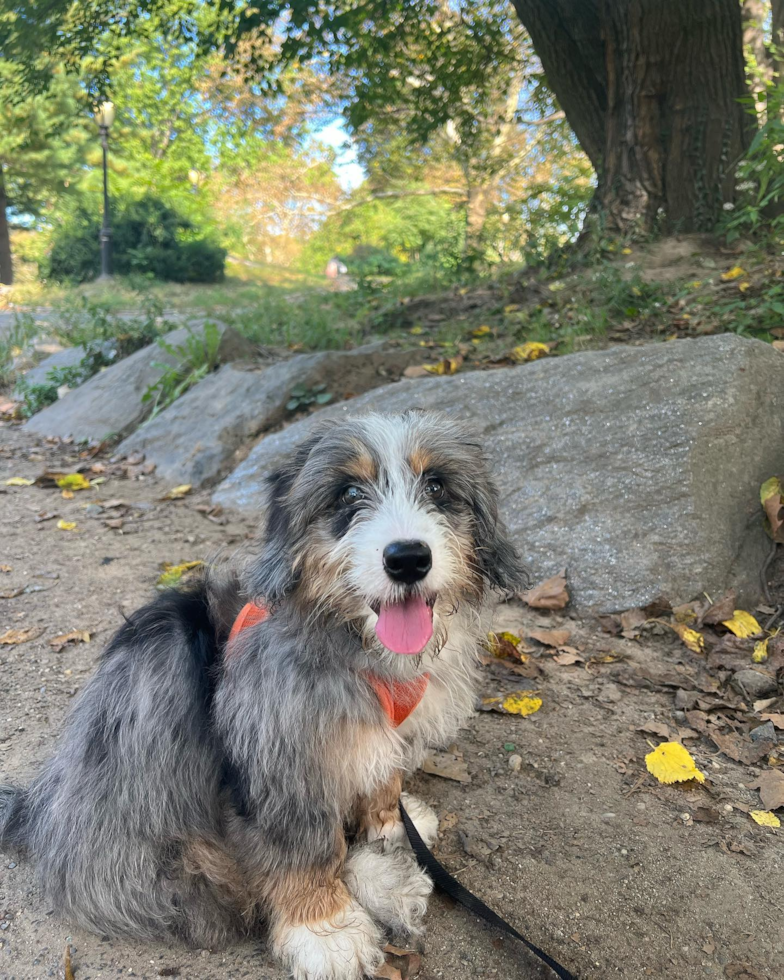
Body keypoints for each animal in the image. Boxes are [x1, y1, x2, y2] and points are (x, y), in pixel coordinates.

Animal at [1, 412, 528, 980]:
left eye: (436, 486)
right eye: (347, 493)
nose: (407, 559)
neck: (355, 647)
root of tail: (39, 811)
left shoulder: (380, 733)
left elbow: (382, 784)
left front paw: (390, 831)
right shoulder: (283, 757)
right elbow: (304, 848)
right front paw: (324, 929)